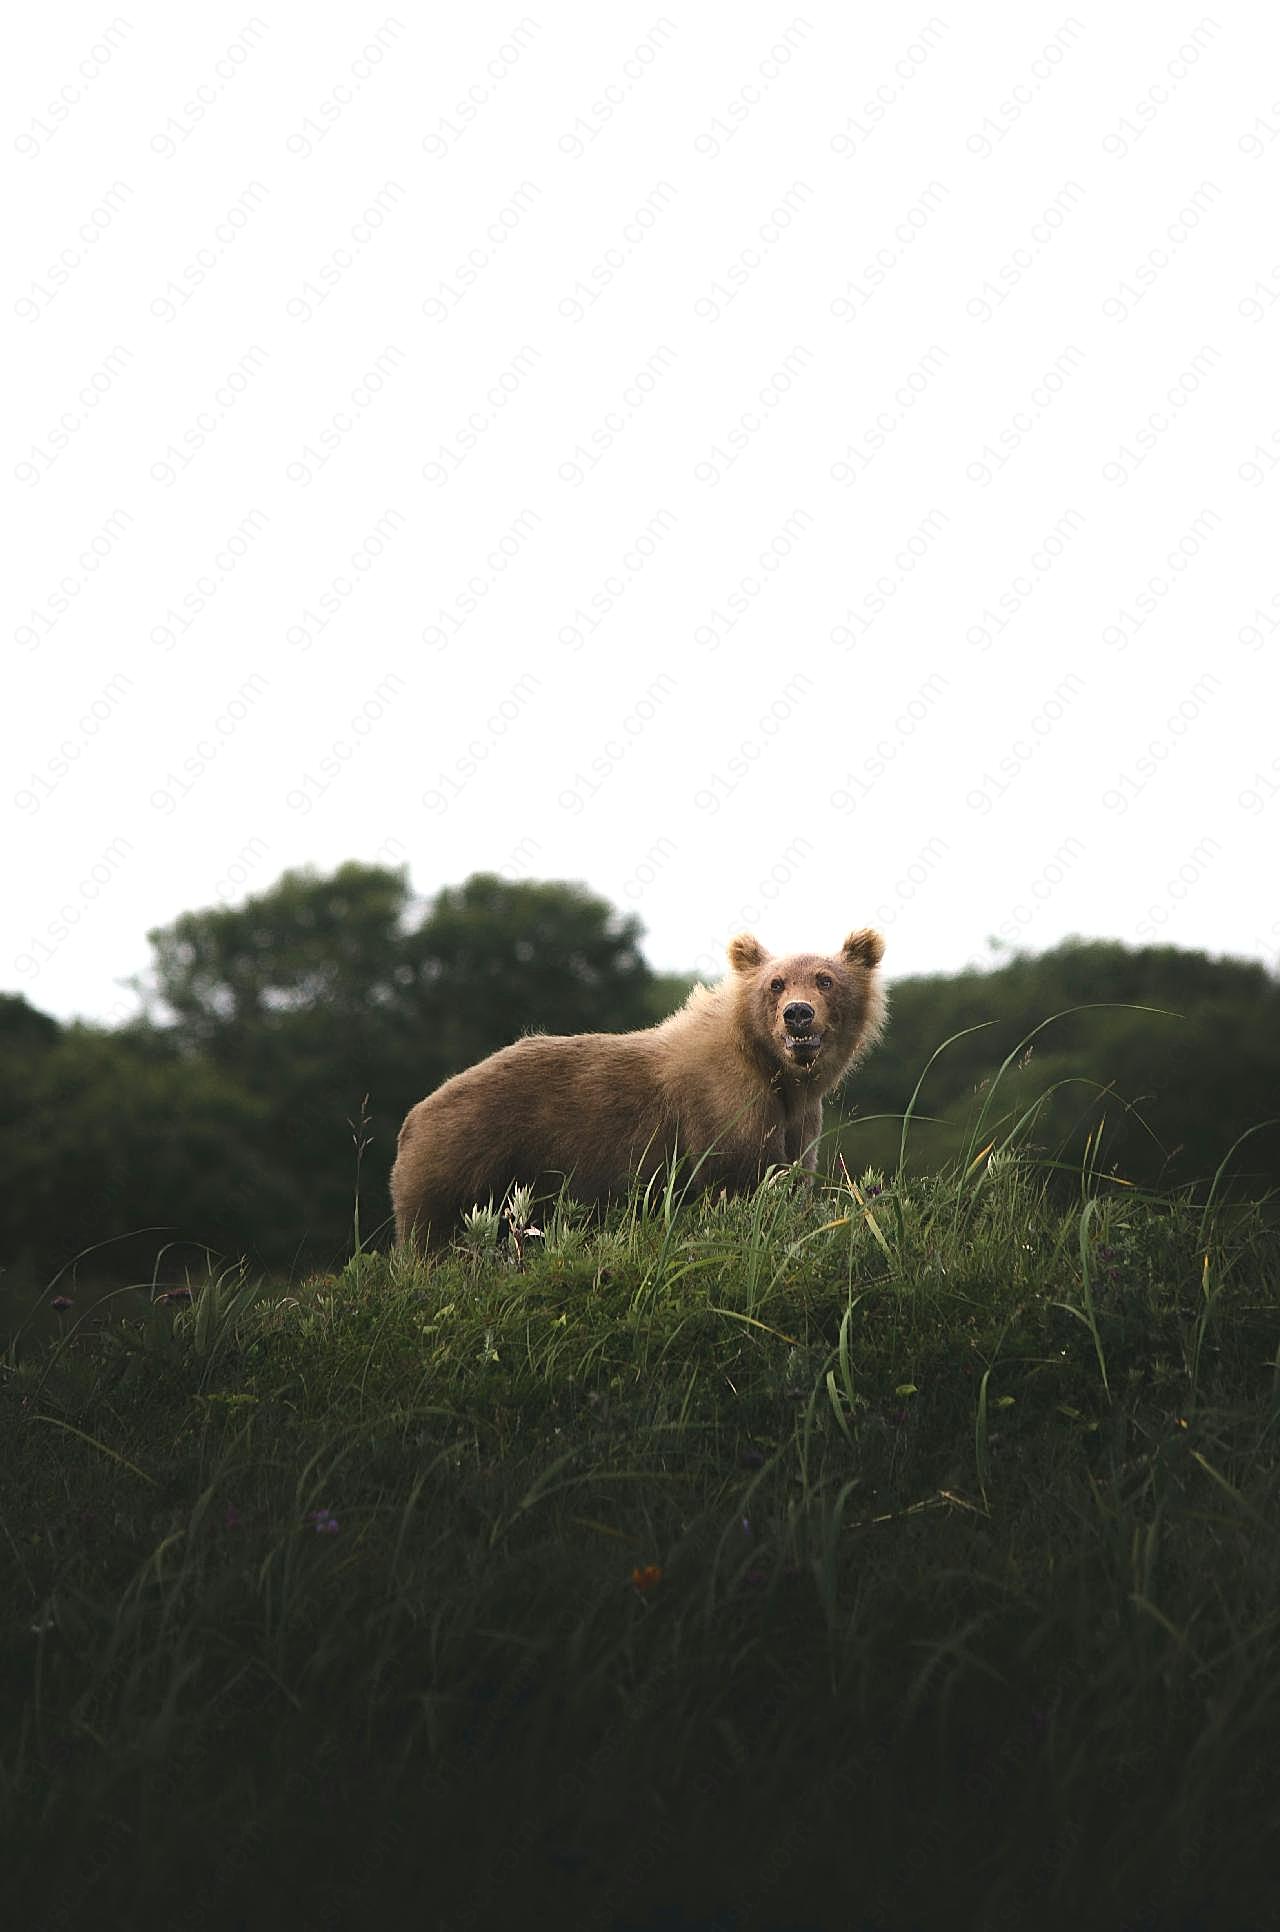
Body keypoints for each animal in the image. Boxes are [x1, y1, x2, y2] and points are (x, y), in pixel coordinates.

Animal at [393, 923, 891, 1251]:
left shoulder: (797, 1121)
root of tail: (415, 1114)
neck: (775, 1070)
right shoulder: (726, 1106)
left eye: (826, 979)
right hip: (466, 1164)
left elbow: (791, 1179)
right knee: (433, 1239)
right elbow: (739, 1182)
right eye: (776, 983)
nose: (798, 1013)